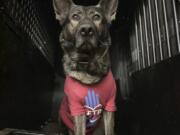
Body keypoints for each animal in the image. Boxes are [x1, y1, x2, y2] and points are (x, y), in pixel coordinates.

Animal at [52, 0, 119, 134]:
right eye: (75, 17)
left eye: (97, 17)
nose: (87, 30)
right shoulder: (77, 109)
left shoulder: (110, 106)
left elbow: (109, 129)